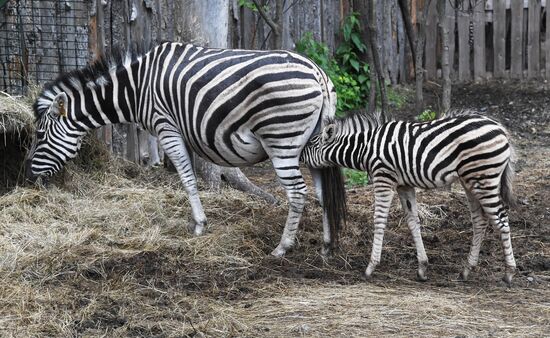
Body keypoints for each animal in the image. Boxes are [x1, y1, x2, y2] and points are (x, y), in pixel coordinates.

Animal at [304, 111, 520, 286]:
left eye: (311, 144)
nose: (299, 155)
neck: (366, 148)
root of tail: (500, 128)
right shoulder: (404, 185)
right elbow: (412, 221)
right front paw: (422, 268)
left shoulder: (384, 178)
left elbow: (379, 220)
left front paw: (370, 267)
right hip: (470, 181)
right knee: (480, 221)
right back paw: (467, 270)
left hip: (483, 178)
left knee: (501, 220)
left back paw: (509, 273)